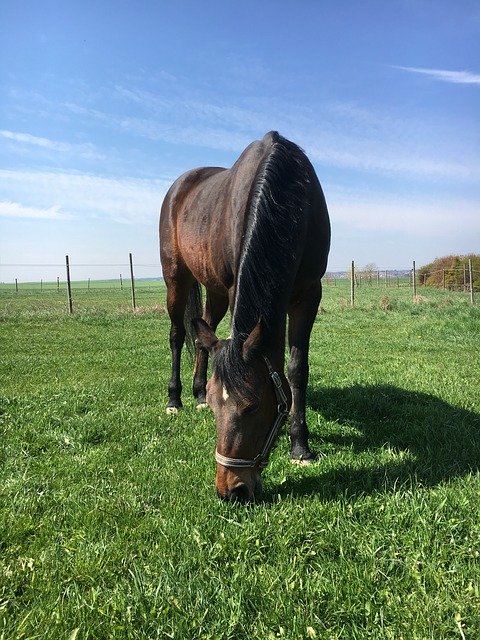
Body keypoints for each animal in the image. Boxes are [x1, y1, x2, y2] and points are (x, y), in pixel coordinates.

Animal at [160, 131, 330, 504]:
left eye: (251, 407)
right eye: (219, 409)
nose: (231, 490)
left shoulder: (309, 294)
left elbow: (296, 369)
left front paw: (300, 446)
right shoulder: (237, 285)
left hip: (214, 291)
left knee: (203, 333)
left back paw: (195, 393)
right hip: (176, 278)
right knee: (177, 335)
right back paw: (175, 399)